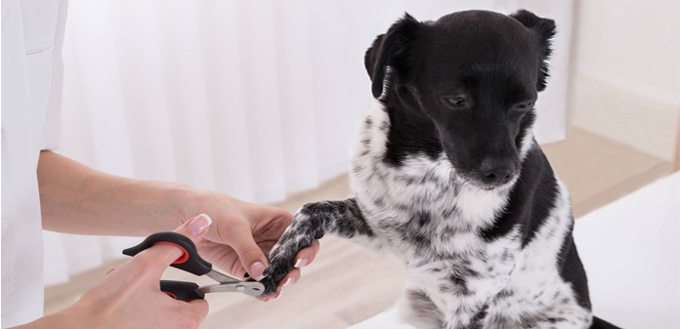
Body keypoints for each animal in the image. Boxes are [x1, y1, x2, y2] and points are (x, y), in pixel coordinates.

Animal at [262, 10, 620, 328]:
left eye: (525, 103)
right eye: (456, 99)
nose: (502, 174)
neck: (430, 175)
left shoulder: (472, 299)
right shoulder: (377, 229)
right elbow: (311, 208)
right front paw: (277, 261)